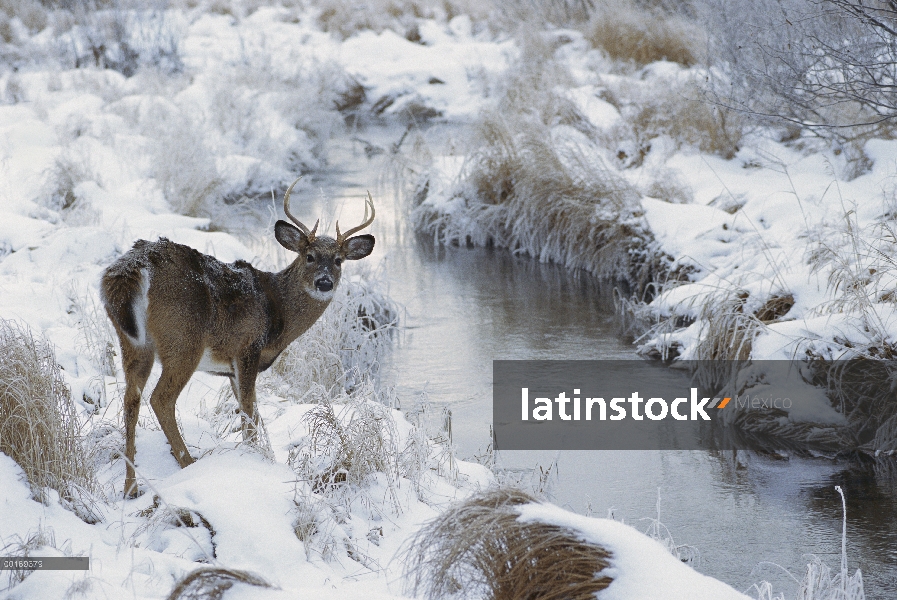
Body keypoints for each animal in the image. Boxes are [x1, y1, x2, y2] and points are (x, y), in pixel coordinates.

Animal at [100, 178, 374, 496]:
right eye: (309, 256)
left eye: (339, 260)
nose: (324, 282)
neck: (276, 310)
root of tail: (132, 267)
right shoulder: (247, 348)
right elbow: (250, 413)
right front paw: (256, 462)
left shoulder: (229, 369)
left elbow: (247, 415)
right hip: (183, 339)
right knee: (161, 398)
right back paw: (188, 463)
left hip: (132, 341)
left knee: (130, 399)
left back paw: (130, 486)